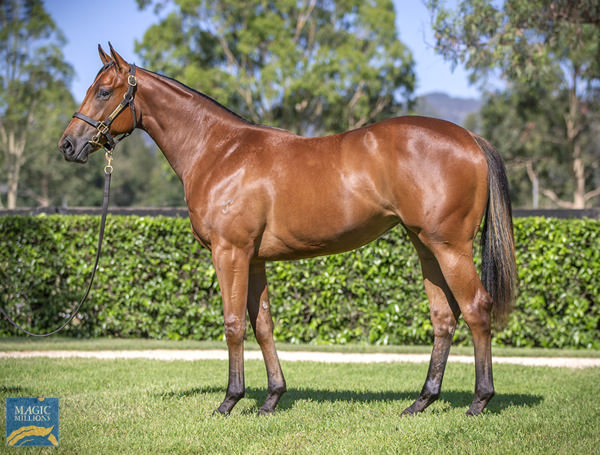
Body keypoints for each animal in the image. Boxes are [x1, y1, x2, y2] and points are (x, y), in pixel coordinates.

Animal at [58, 45, 516, 416]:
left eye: (103, 92)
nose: (68, 144)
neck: (219, 151)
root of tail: (469, 137)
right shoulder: (254, 259)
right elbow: (262, 324)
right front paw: (271, 399)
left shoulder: (229, 252)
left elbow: (233, 323)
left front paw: (229, 401)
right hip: (425, 245)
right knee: (444, 317)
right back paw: (421, 402)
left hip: (450, 247)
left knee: (476, 309)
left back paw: (479, 401)